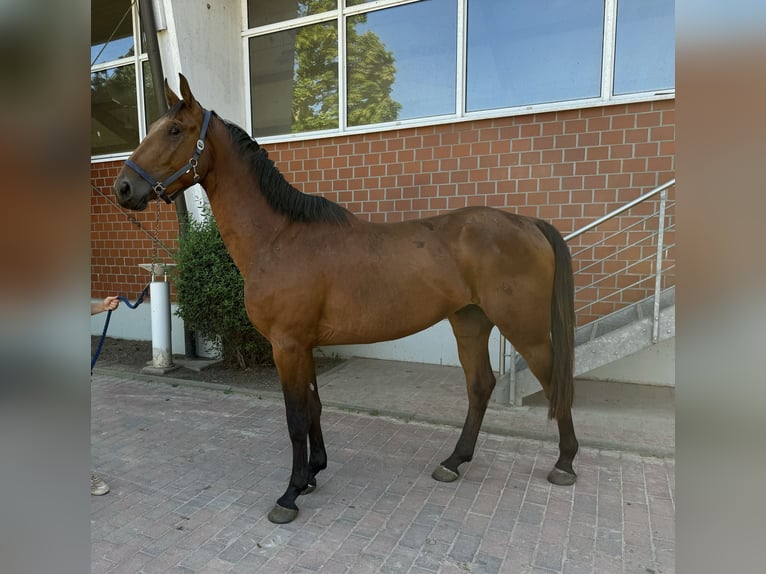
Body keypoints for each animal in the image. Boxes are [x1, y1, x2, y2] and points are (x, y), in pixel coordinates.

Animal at [114, 74, 580, 524]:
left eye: (174, 130)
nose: (123, 187)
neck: (279, 239)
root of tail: (528, 223)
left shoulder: (287, 345)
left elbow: (296, 418)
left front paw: (289, 495)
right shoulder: (303, 345)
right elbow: (315, 407)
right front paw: (313, 473)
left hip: (525, 329)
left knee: (555, 384)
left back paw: (565, 464)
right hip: (470, 321)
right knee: (480, 385)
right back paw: (454, 461)